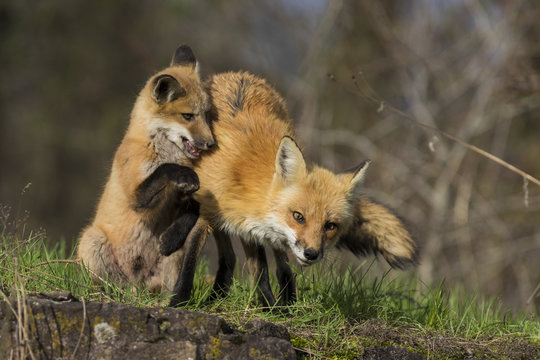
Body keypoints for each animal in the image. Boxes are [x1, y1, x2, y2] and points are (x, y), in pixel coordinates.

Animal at [77, 45, 214, 292]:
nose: (211, 143)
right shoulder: (136, 196)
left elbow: (193, 209)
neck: (158, 148)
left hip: (172, 264)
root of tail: (136, 286)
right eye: (188, 116)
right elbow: (164, 170)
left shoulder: (181, 198)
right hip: (91, 240)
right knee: (105, 283)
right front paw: (183, 172)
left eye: (206, 115)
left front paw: (171, 238)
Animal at [165, 71, 418, 306]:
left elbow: (262, 269)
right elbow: (190, 260)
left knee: (277, 265)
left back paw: (285, 303)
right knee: (230, 258)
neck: (242, 172)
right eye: (298, 216)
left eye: (330, 225)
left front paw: (271, 308)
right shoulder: (211, 212)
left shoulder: (250, 229)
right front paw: (178, 302)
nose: (312, 254)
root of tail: (238, 74)